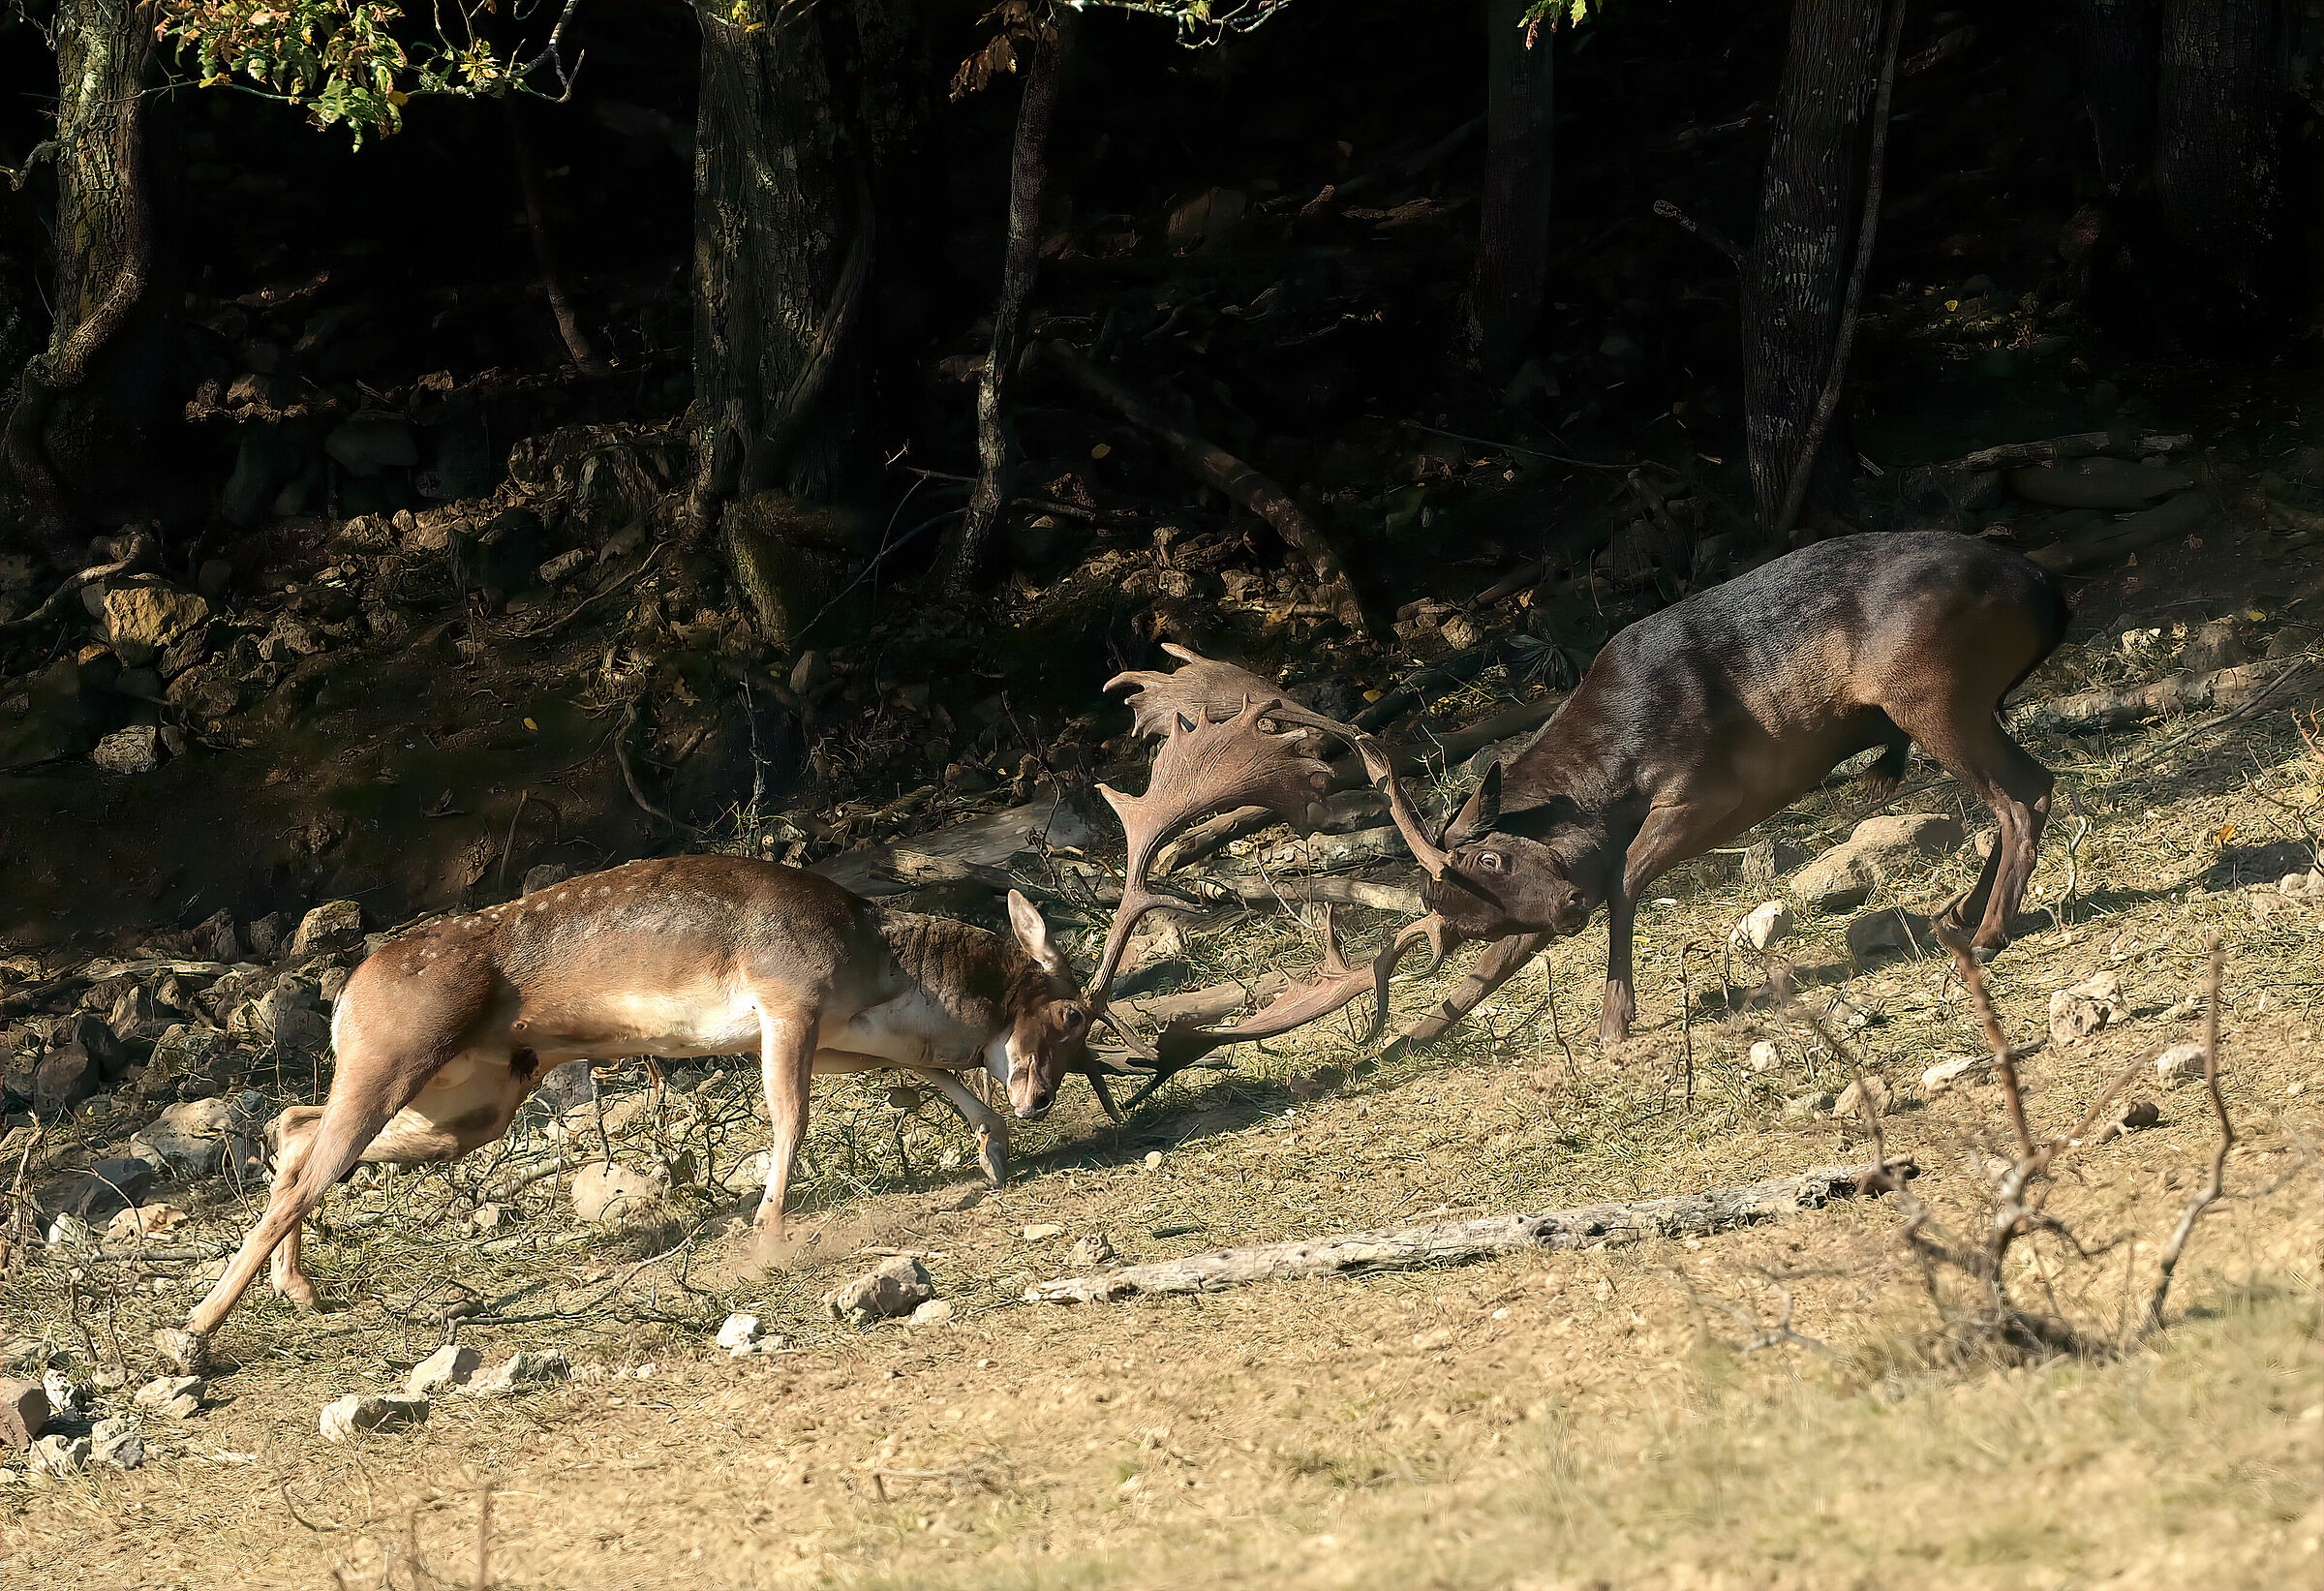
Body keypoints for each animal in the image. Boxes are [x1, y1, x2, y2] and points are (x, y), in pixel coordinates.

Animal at [185, 857, 1097, 1340]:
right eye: (1071, 1013)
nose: (1041, 1099)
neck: (879, 971)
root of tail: (346, 996)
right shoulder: (788, 999)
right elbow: (791, 1118)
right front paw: (766, 1235)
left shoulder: (835, 1035)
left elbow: (926, 1075)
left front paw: (994, 1153)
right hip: (397, 1057)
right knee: (306, 1164)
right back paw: (196, 1330)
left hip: (470, 1102)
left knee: (296, 1127)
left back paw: (299, 1291)